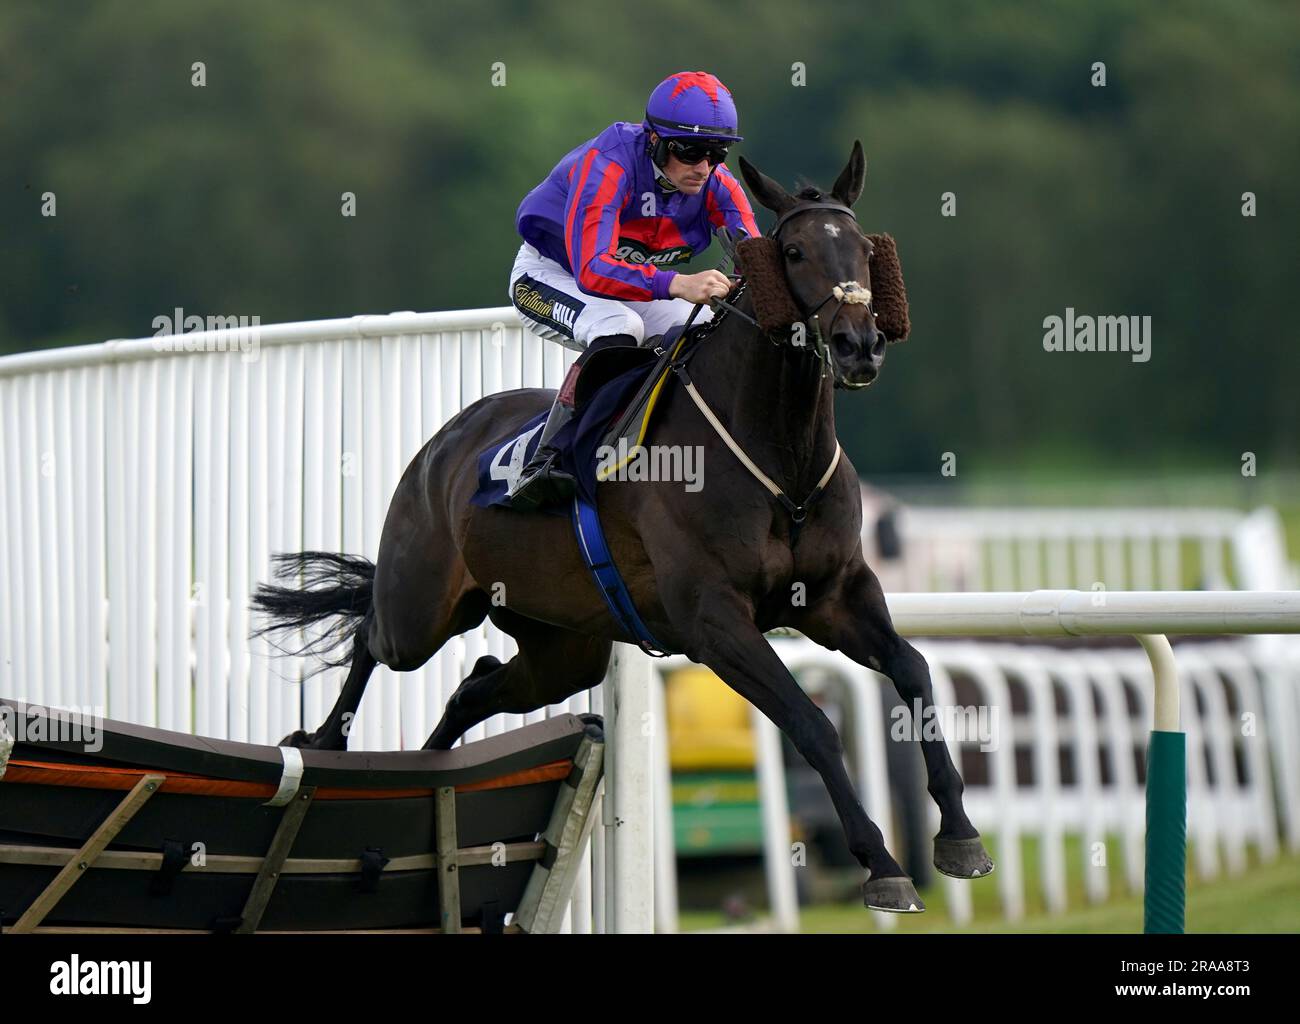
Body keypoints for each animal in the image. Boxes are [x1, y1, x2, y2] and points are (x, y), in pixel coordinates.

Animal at [248, 142, 987, 909]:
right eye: (793, 250)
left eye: (864, 250)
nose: (858, 345)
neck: (779, 455)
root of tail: (446, 440)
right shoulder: (713, 622)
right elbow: (811, 723)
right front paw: (882, 864)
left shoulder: (836, 594)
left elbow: (913, 671)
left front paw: (960, 835)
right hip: (421, 610)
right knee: (372, 633)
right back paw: (324, 742)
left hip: (560, 647)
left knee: (473, 687)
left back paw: (431, 773)